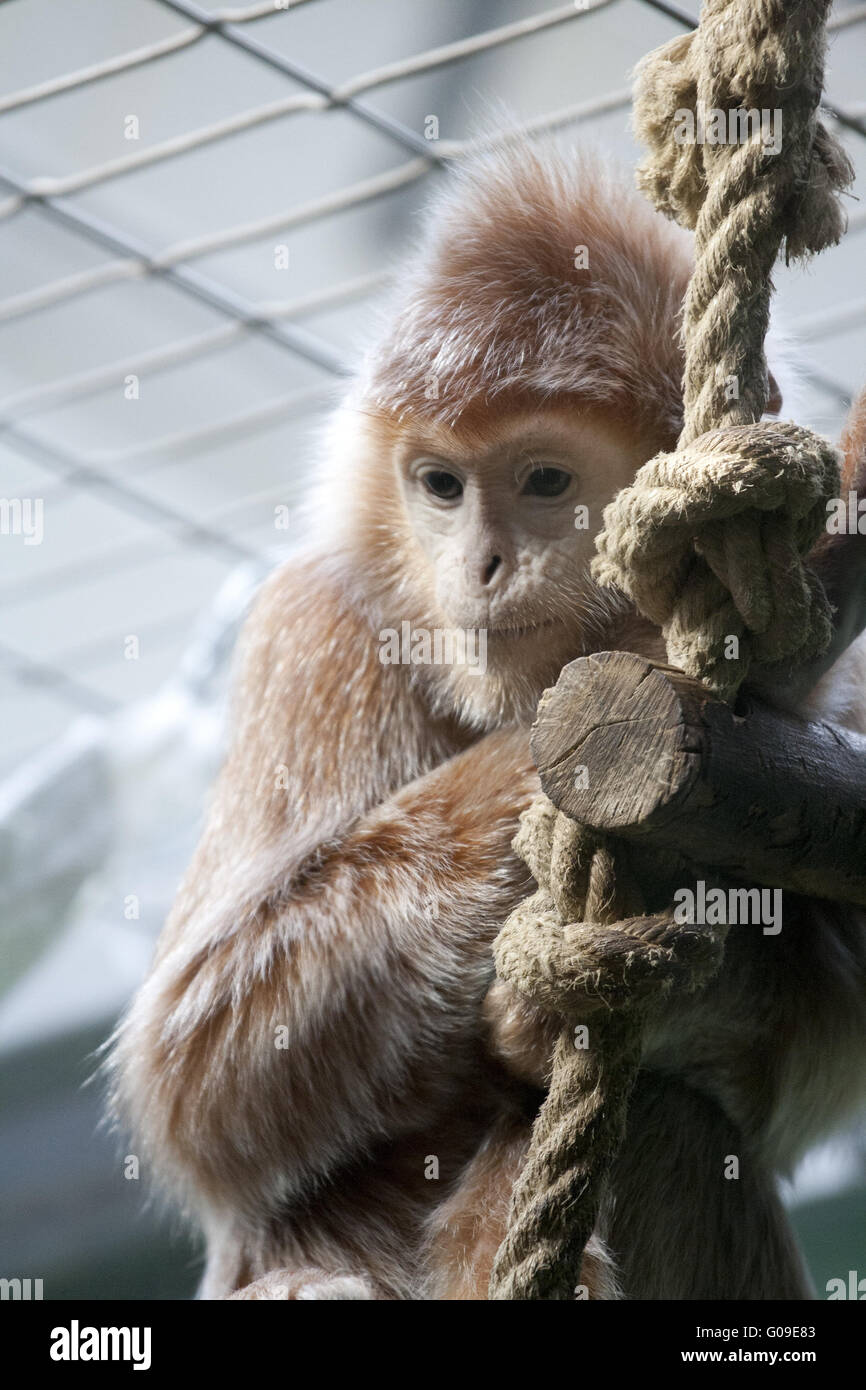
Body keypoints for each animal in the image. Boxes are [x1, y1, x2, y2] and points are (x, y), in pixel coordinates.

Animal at [111, 143, 866, 1301]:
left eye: (545, 479)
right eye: (440, 486)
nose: (479, 564)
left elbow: (833, 1027)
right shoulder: (317, 630)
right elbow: (198, 1065)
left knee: (675, 1118)